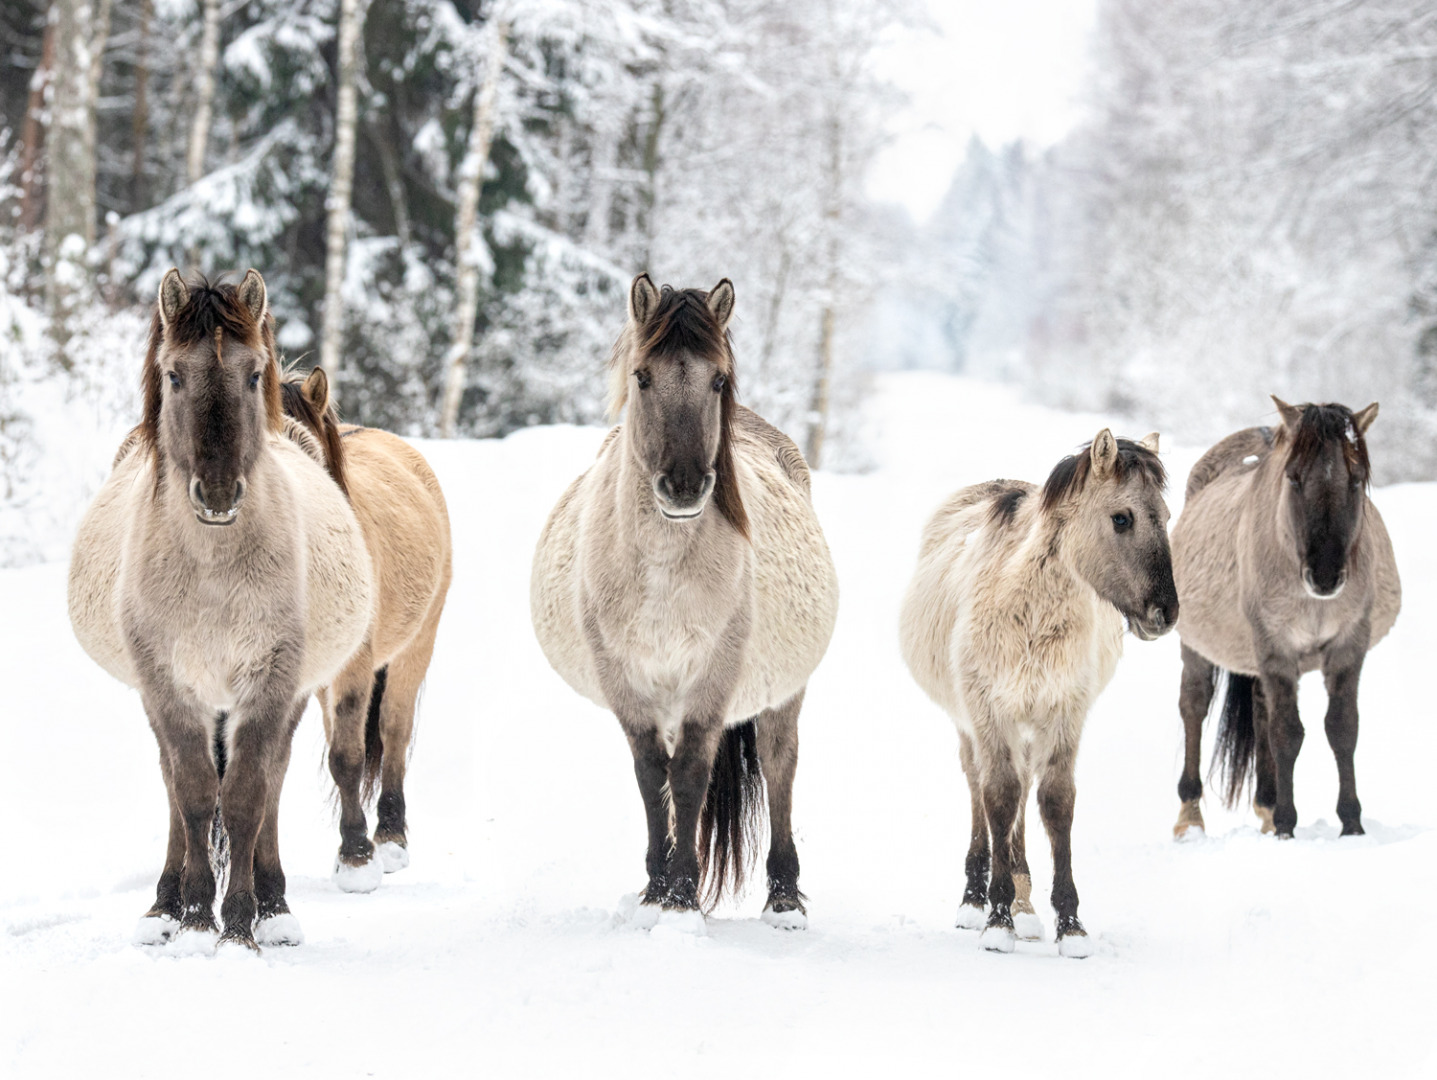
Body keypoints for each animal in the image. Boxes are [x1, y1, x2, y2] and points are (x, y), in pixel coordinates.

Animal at [67, 271, 373, 953]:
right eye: (174, 375)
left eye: (253, 374)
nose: (217, 493)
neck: (211, 571)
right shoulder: (168, 685)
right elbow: (193, 794)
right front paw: (193, 916)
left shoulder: (270, 684)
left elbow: (246, 797)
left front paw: (239, 926)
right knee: (175, 784)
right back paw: (164, 904)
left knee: (271, 782)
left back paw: (273, 903)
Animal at [281, 367, 454, 890]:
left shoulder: (355, 668)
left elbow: (348, 756)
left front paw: (357, 857)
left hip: (416, 646)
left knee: (394, 730)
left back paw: (392, 838)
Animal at [534, 271, 839, 930]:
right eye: (642, 376)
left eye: (717, 379)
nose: (683, 486)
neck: (661, 572)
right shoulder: (628, 684)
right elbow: (655, 779)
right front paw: (658, 892)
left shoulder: (711, 684)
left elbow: (693, 777)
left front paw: (680, 899)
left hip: (783, 694)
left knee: (779, 764)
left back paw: (784, 899)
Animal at [902, 427, 1172, 953]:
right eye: (1122, 518)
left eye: (1167, 517)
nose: (1165, 613)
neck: (1028, 609)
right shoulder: (989, 714)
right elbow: (999, 798)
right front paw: (996, 918)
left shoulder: (1063, 712)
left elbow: (1054, 802)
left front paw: (1068, 924)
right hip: (972, 724)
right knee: (980, 788)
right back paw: (975, 899)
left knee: (1024, 792)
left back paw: (1026, 907)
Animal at [1172, 402, 1396, 838]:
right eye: (1293, 478)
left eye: (1355, 480)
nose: (1324, 575)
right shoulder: (1277, 646)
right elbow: (1287, 733)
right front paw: (1286, 828)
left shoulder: (1348, 645)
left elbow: (1342, 728)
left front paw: (1351, 824)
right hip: (1196, 644)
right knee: (1194, 704)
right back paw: (1190, 818)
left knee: (1261, 710)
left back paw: (1266, 805)